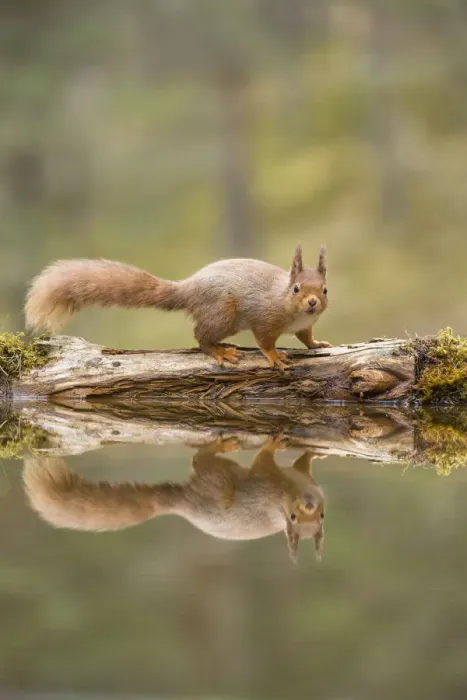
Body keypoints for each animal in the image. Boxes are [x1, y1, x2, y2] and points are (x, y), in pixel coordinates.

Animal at [23, 437, 325, 562]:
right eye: (292, 518)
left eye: (322, 516)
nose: (309, 504)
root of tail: (185, 503)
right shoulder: (265, 482)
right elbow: (264, 459)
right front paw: (275, 443)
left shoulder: (303, 477)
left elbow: (304, 463)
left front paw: (315, 455)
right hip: (219, 482)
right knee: (200, 461)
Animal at [24, 245, 331, 371]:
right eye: (296, 289)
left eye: (325, 289)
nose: (313, 302)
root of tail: (188, 289)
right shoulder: (264, 319)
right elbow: (265, 341)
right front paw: (275, 356)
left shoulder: (305, 325)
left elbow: (306, 337)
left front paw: (318, 344)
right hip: (223, 314)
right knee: (200, 338)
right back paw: (219, 351)